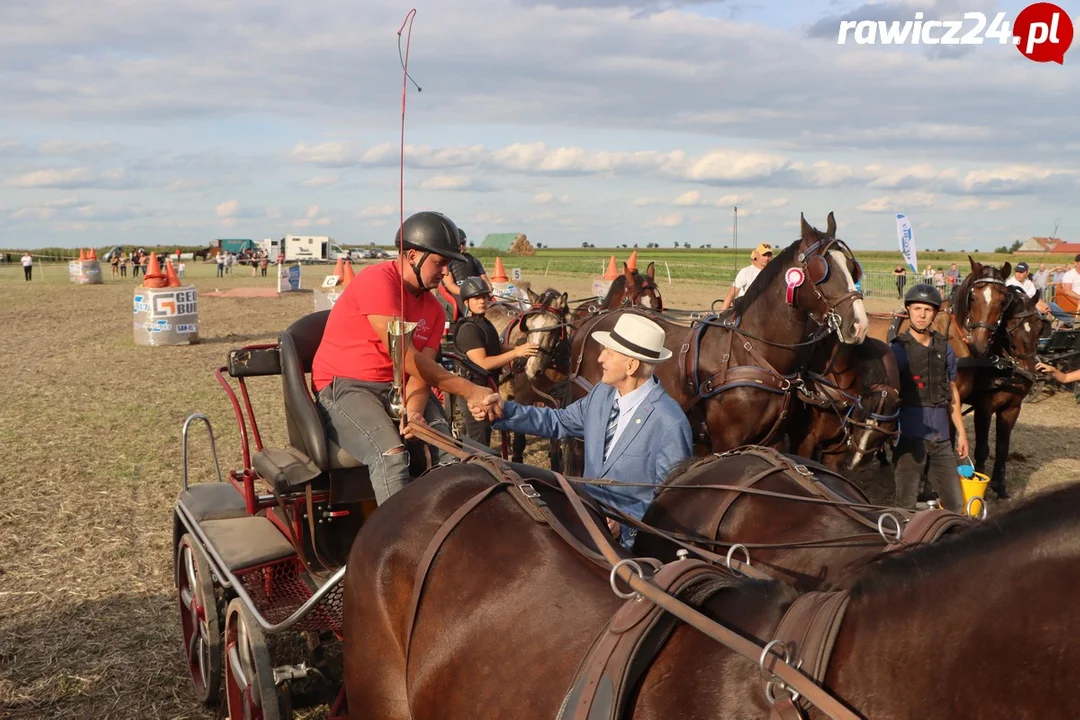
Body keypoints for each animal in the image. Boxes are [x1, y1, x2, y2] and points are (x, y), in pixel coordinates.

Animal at [565, 211, 868, 455]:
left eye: (852, 268)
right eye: (822, 270)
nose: (860, 325)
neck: (751, 354)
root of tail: (594, 319)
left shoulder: (770, 441)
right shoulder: (726, 442)